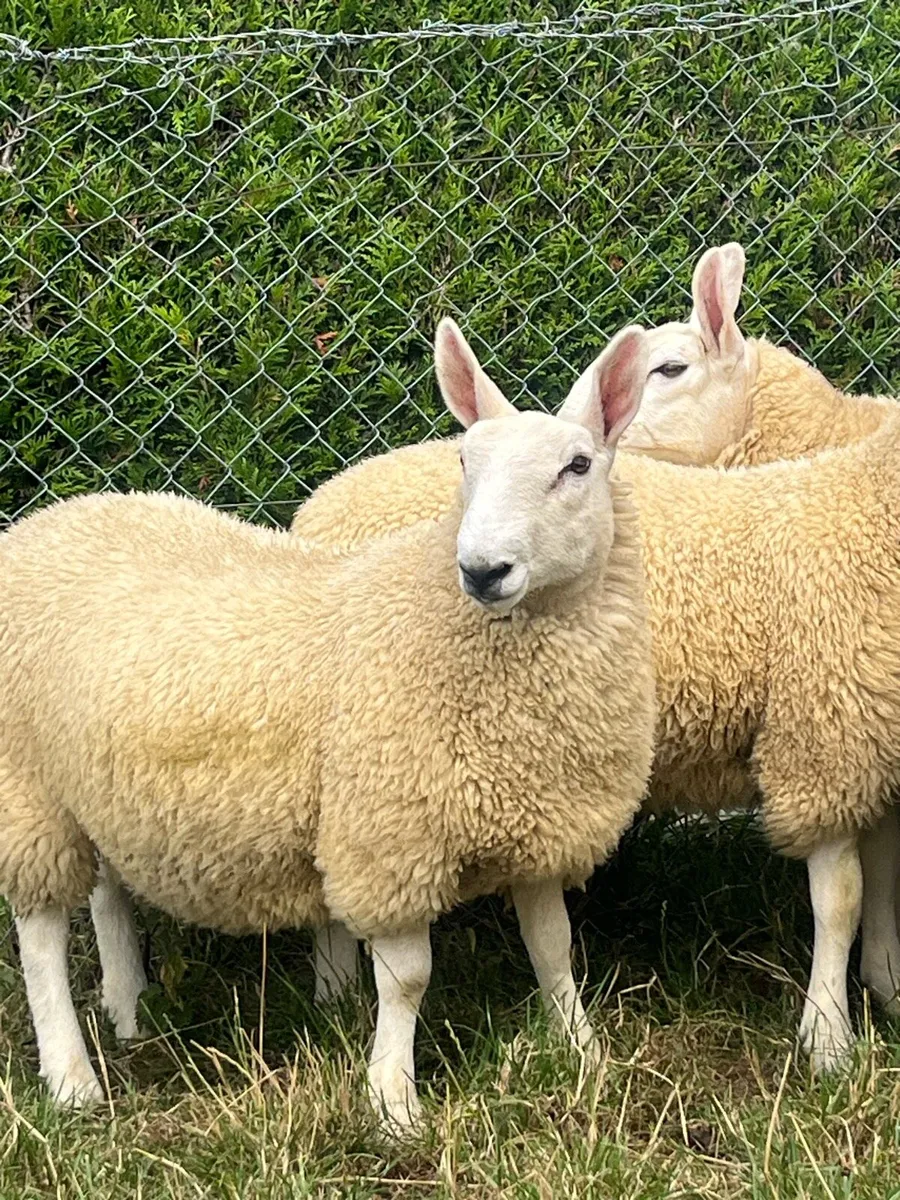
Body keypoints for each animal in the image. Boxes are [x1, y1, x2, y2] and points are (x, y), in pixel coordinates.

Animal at [0, 320, 656, 1126]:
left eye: (577, 465)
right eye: (463, 462)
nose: (482, 570)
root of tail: (47, 519)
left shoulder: (536, 825)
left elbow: (552, 947)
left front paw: (582, 1052)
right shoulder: (393, 835)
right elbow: (408, 978)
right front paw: (393, 1101)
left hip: (92, 779)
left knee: (107, 893)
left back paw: (128, 1010)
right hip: (27, 785)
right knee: (40, 937)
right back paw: (72, 1080)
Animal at [287, 341, 900, 1072]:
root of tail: (320, 505)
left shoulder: (877, 746)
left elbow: (885, 875)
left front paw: (886, 989)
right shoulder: (821, 736)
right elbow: (840, 900)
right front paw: (830, 1041)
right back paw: (336, 998)